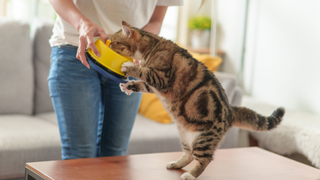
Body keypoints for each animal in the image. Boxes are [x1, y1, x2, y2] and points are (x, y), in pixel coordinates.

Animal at [109, 21, 284, 180]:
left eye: (115, 42)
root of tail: (231, 110)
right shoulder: (154, 85)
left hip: (203, 139)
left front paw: (129, 67)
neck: (152, 47)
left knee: (205, 159)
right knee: (190, 154)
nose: (108, 45)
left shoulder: (161, 78)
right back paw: (176, 164)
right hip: (185, 136)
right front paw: (129, 86)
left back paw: (190, 175)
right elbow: (142, 83)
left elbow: (143, 72)